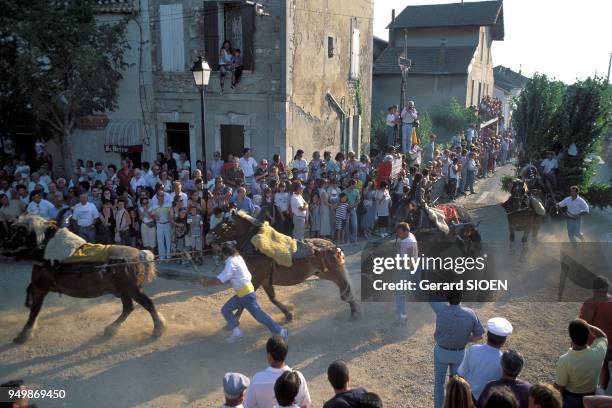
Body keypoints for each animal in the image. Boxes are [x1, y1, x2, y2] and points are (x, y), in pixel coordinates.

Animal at [2, 214, 166, 344]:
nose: (4, 246)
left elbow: (34, 312)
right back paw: (112, 329)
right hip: (124, 291)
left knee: (148, 304)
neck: (46, 249)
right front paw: (27, 306)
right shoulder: (38, 284)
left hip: (132, 290)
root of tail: (139, 254)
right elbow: (30, 294)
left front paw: (24, 334)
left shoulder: (41, 286)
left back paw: (158, 329)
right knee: (128, 308)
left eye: (19, 234)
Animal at [206, 210, 358, 322]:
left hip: (333, 273)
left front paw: (233, 321)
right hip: (323, 273)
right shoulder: (265, 281)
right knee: (345, 288)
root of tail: (332, 246)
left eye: (225, 224)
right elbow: (273, 299)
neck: (256, 249)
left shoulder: (256, 279)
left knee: (345, 287)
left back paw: (354, 311)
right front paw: (288, 314)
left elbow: (245, 301)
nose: (208, 236)